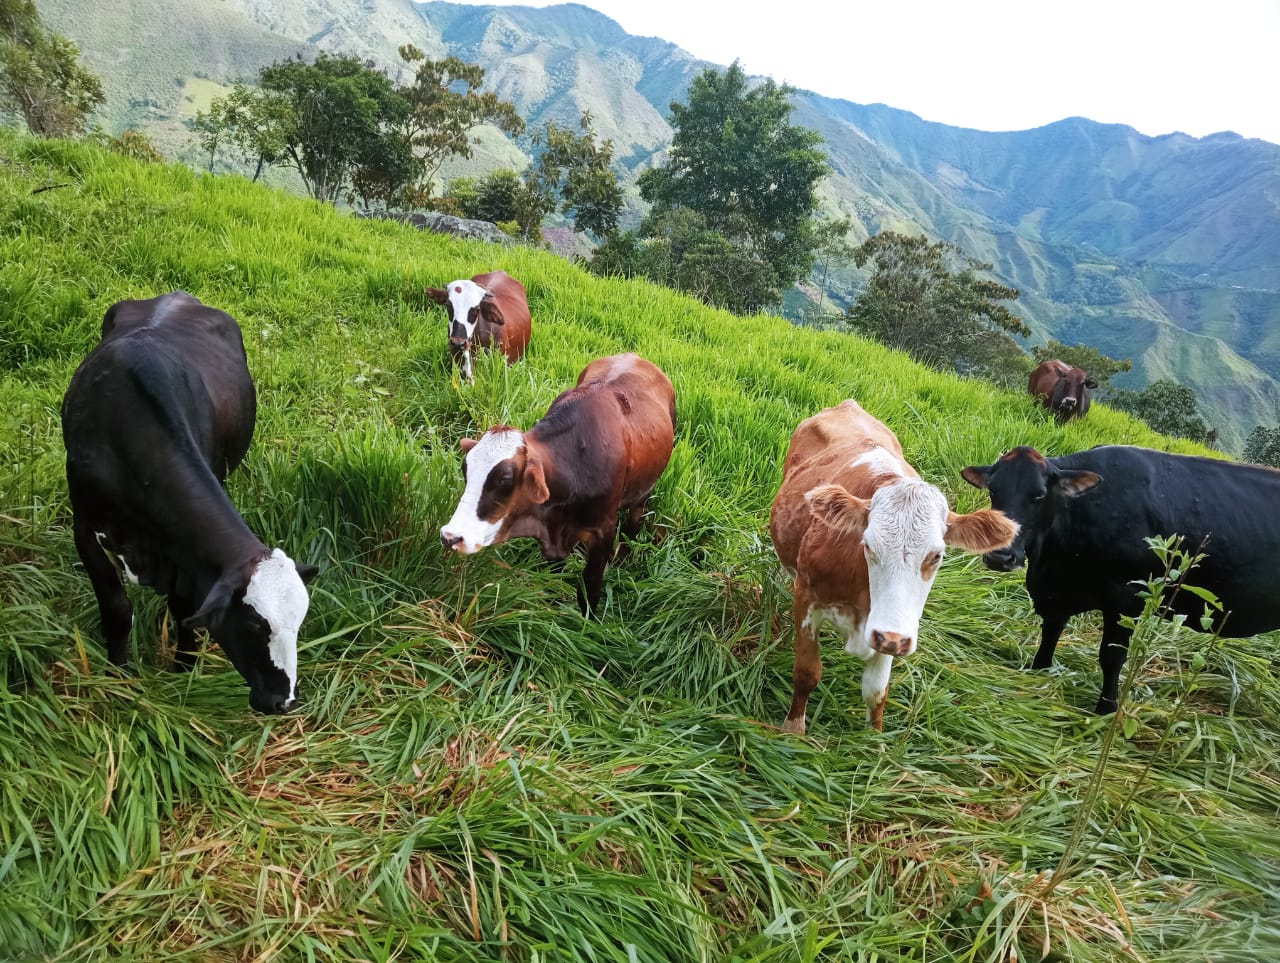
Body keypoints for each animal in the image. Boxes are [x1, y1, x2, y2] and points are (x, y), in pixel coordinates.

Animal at [58, 289, 320, 712]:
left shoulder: (185, 554)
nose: (285, 700)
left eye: (299, 623)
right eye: (254, 625)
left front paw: (182, 675)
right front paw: (117, 676)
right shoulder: (84, 527)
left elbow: (184, 611)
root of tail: (177, 296)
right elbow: (117, 611)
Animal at [440, 350, 675, 609]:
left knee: (635, 518)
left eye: (504, 480)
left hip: (645, 490)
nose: (450, 536)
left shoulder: (604, 532)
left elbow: (589, 589)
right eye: (466, 471)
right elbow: (554, 576)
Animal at [768, 402, 1018, 732]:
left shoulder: (893, 626)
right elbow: (807, 672)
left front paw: (875, 738)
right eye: (868, 546)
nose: (891, 639)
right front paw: (793, 730)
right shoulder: (808, 597)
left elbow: (876, 690)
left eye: (936, 556)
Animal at [962, 448, 1280, 712]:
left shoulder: (1125, 599)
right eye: (993, 491)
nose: (1000, 556)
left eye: (1039, 495)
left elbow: (1111, 658)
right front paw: (1038, 672)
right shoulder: (1057, 594)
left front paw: (1106, 709)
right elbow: (1050, 634)